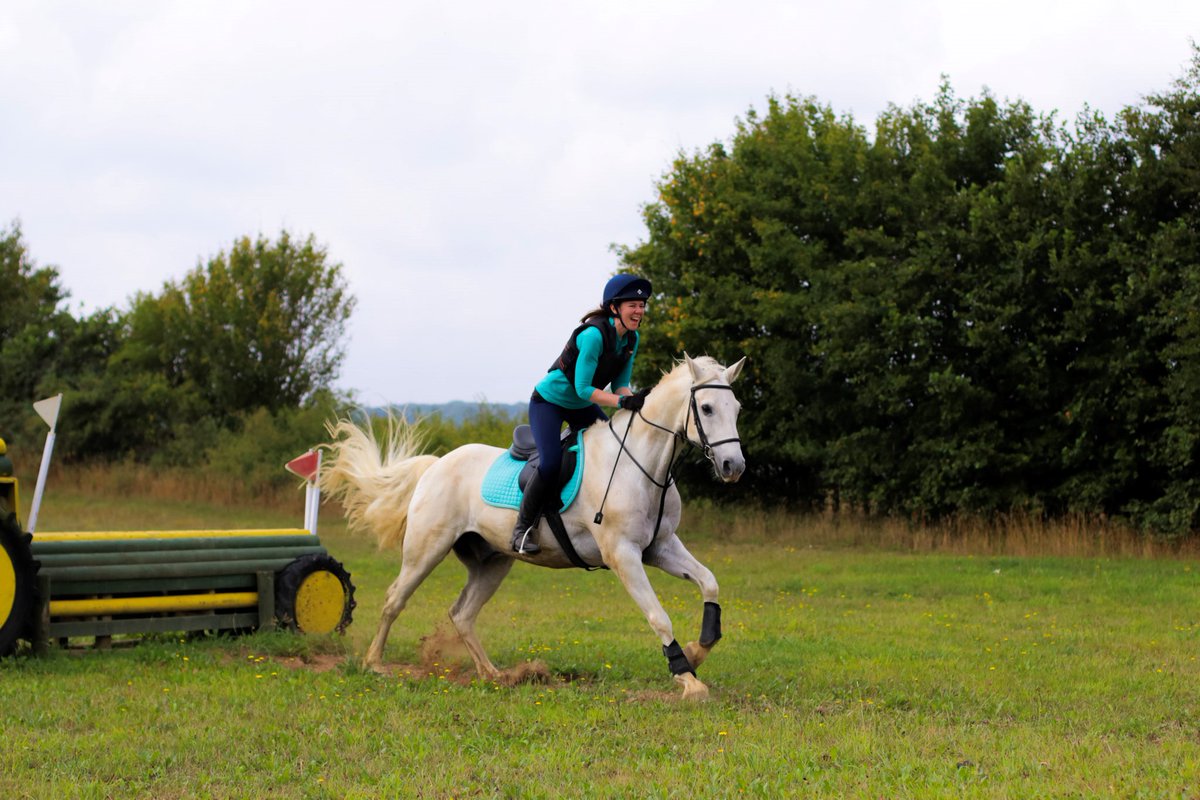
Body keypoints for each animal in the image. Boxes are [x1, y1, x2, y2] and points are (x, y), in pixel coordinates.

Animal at [319, 354, 746, 699]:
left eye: (737, 407)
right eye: (707, 408)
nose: (733, 467)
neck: (640, 463)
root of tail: (437, 464)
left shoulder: (660, 546)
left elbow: (710, 583)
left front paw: (696, 651)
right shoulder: (623, 554)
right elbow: (659, 615)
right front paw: (687, 677)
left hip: (493, 561)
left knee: (462, 613)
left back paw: (494, 674)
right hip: (427, 549)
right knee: (395, 599)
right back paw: (374, 663)